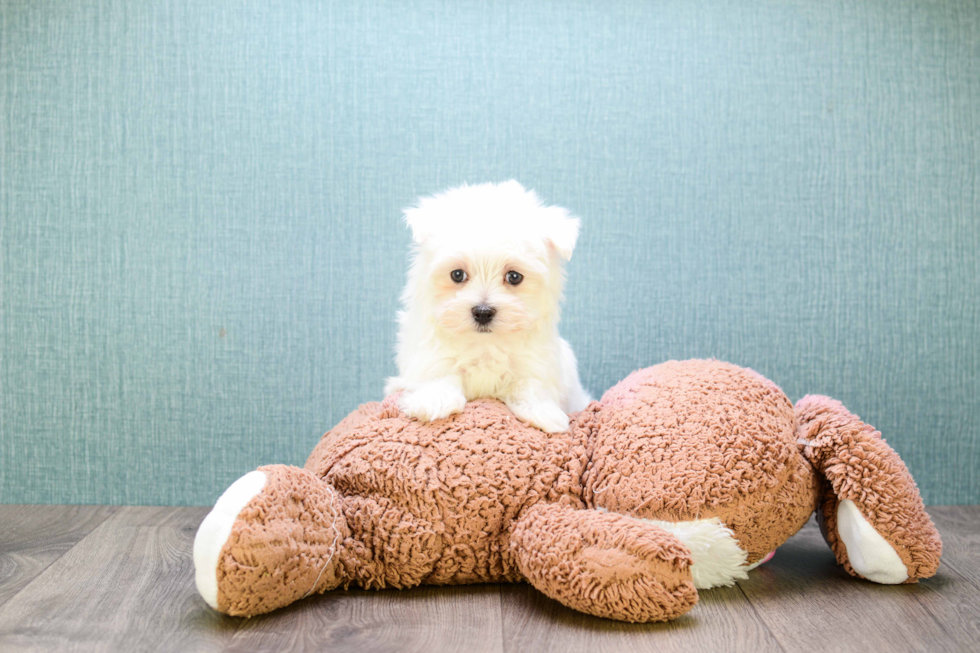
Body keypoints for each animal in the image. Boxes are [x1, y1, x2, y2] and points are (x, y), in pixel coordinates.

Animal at [386, 180, 592, 432]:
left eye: (514, 277)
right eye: (457, 274)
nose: (483, 312)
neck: (484, 345)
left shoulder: (538, 362)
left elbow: (528, 384)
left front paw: (543, 412)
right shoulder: (426, 356)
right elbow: (439, 373)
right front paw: (434, 401)